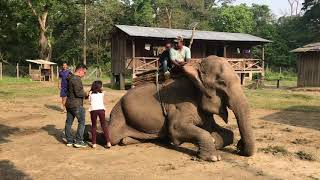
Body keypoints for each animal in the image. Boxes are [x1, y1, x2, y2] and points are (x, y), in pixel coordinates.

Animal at [107, 55, 255, 162]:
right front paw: (213, 157)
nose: (240, 147)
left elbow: (225, 131)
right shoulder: (180, 103)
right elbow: (176, 129)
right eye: (222, 83)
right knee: (112, 137)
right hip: (119, 112)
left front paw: (214, 140)